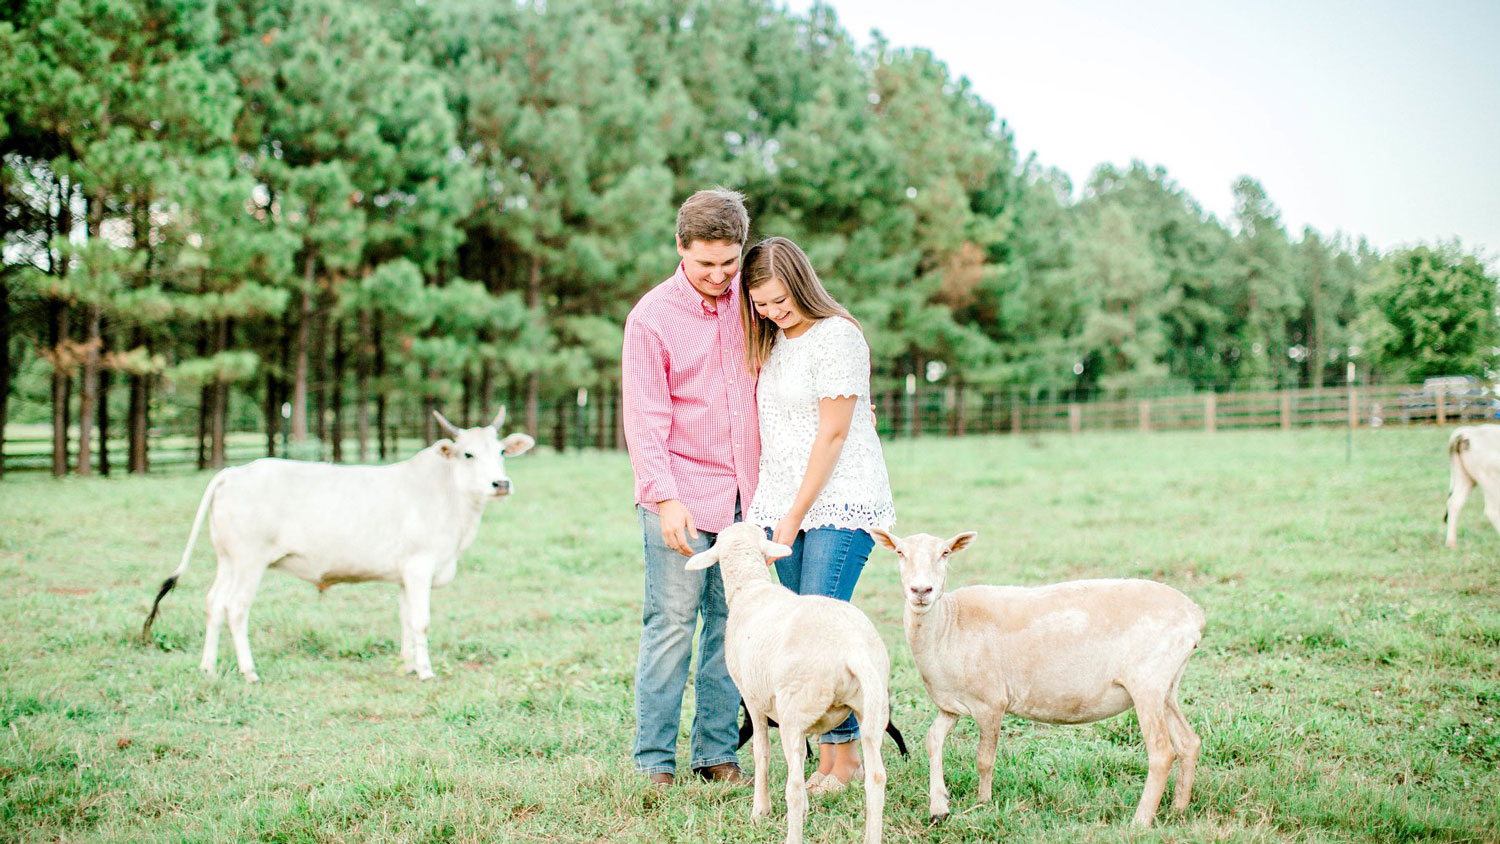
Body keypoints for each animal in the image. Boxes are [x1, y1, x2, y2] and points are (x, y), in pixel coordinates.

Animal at [141, 407, 537, 680]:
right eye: (468, 454)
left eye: (502, 452)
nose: (501, 484)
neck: (450, 498)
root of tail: (234, 472)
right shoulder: (420, 566)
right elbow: (421, 621)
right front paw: (425, 672)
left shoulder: (405, 574)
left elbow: (406, 619)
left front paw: (408, 665)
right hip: (250, 561)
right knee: (235, 607)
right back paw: (249, 671)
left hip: (228, 559)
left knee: (213, 602)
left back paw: (208, 667)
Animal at [687, 524, 888, 839]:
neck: (750, 589)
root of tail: (851, 648)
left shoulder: (753, 700)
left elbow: (761, 753)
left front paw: (760, 811)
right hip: (872, 709)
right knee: (877, 778)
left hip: (795, 707)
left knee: (792, 786)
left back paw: (792, 834)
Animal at [876, 530, 1200, 827]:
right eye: (900, 552)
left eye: (945, 553)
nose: (921, 590)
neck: (948, 624)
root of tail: (1195, 616)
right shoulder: (951, 705)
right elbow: (933, 740)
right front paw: (938, 806)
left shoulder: (990, 702)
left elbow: (984, 759)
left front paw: (983, 803)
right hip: (1167, 687)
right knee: (1188, 742)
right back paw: (1178, 809)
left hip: (1147, 683)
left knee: (1162, 752)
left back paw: (1140, 821)